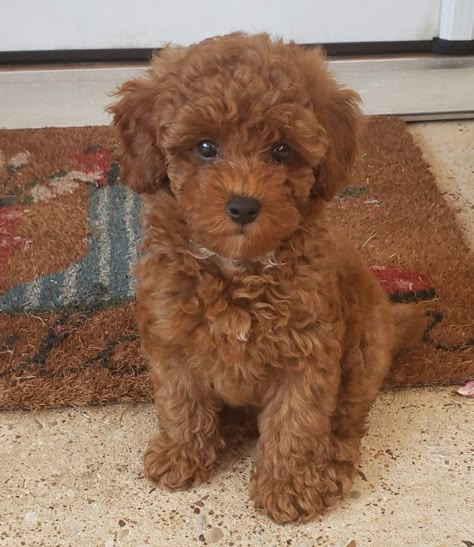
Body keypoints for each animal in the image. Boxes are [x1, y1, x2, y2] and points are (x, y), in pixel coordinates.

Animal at [110, 32, 426, 524]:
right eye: (205, 148)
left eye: (281, 150)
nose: (243, 206)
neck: (239, 269)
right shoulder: (172, 335)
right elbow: (181, 400)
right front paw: (181, 453)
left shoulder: (309, 351)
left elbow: (297, 422)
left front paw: (289, 485)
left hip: (364, 346)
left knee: (349, 415)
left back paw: (332, 459)